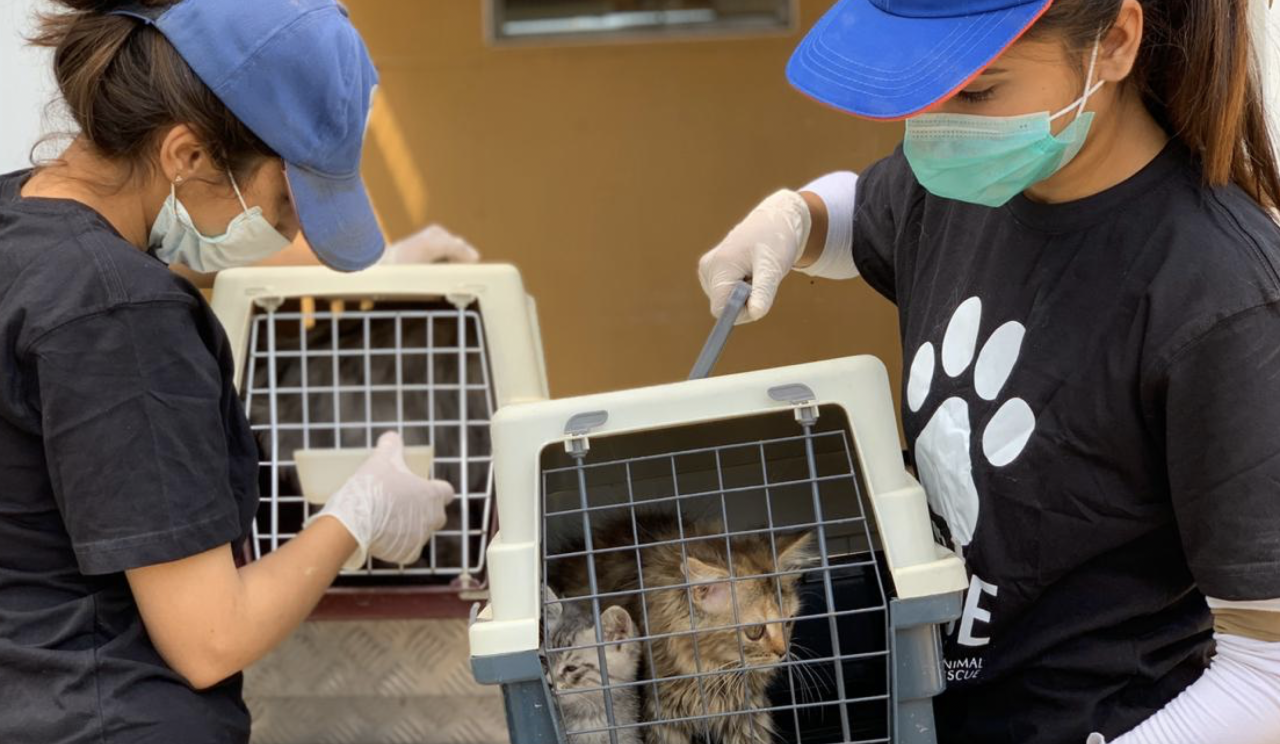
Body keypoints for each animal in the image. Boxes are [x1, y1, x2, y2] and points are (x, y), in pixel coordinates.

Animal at [547, 514, 808, 742]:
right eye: (755, 631)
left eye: (788, 622)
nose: (783, 653)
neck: (714, 671)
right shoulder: (660, 715)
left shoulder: (746, 714)